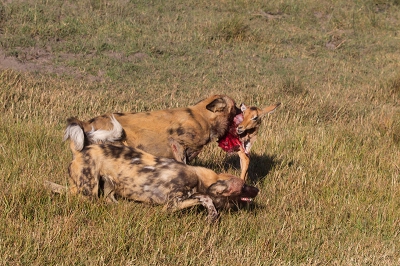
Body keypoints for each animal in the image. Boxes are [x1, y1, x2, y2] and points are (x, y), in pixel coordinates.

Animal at [46, 119, 260, 221]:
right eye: (243, 186)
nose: (258, 189)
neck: (200, 179)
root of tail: (81, 150)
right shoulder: (172, 204)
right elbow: (204, 198)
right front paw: (211, 213)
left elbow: (204, 199)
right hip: (87, 192)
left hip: (105, 185)